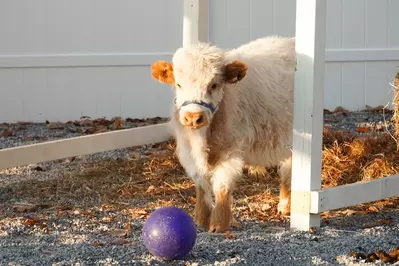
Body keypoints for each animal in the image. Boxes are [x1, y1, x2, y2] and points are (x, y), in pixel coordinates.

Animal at [152, 35, 296, 233]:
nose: (193, 118)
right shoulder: (188, 151)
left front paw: (218, 224)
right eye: (179, 84)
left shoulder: (230, 150)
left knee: (290, 166)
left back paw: (285, 204)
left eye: (213, 84)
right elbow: (200, 183)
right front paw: (200, 219)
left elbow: (222, 186)